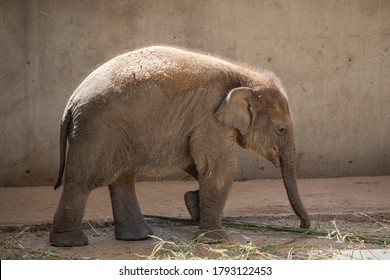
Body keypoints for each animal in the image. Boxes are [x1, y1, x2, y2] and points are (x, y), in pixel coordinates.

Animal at [50, 46, 310, 247]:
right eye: (280, 130)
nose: (304, 226)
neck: (245, 76)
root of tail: (70, 104)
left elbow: (196, 163)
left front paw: (193, 204)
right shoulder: (209, 118)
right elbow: (218, 168)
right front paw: (215, 239)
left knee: (122, 178)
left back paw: (139, 236)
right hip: (97, 130)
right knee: (83, 181)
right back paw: (71, 243)